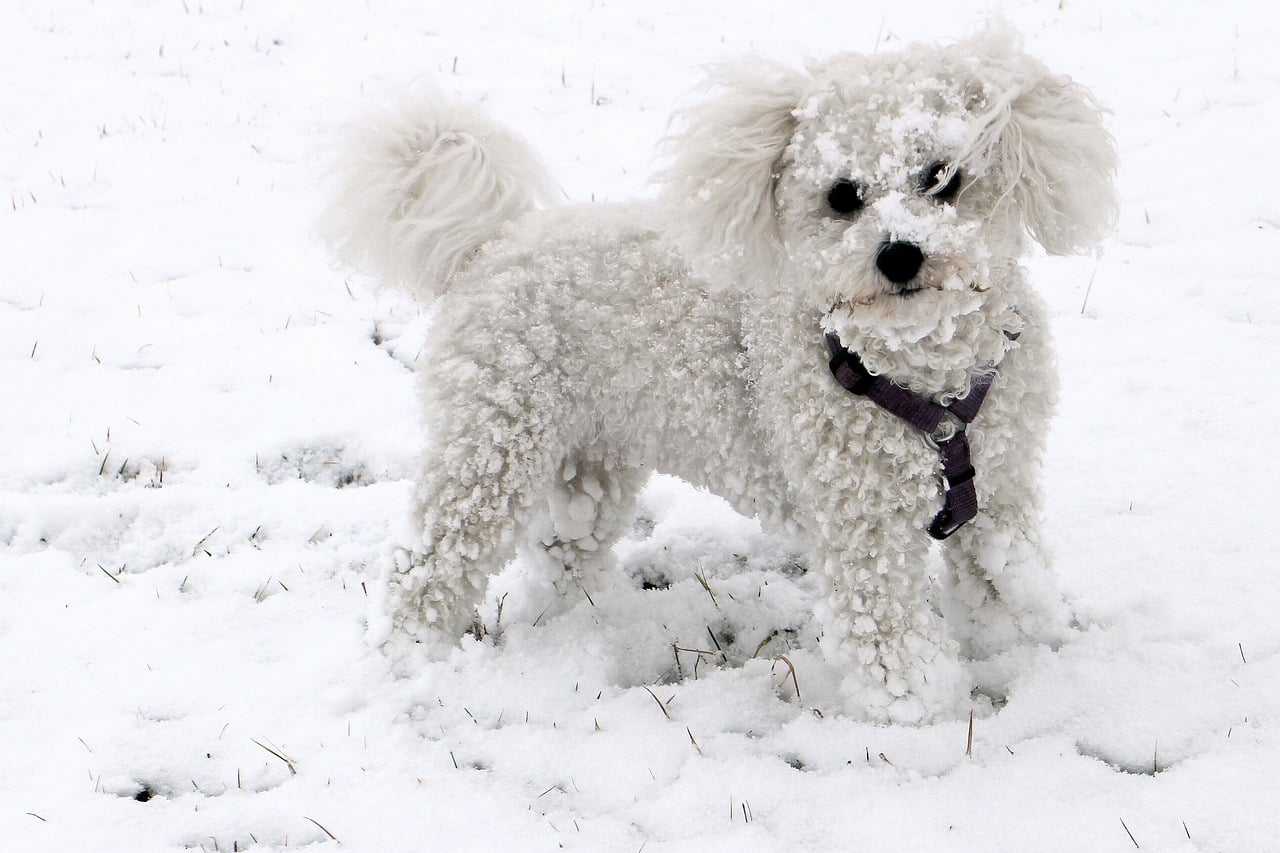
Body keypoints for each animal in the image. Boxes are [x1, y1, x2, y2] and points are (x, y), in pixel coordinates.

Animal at [325, 24, 1116, 717]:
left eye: (942, 178)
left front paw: (1014, 651)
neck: (926, 381)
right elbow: (887, 634)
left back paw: (585, 629)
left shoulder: (1002, 491)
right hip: (491, 447)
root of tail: (495, 242)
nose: (899, 254)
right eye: (842, 195)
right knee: (428, 562)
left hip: (591, 458)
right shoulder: (861, 526)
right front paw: (921, 714)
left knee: (562, 554)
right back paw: (408, 656)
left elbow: (999, 583)